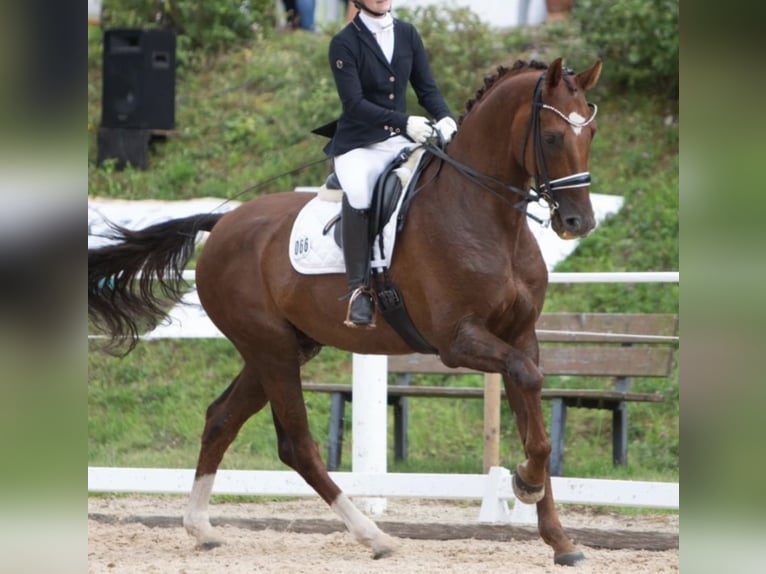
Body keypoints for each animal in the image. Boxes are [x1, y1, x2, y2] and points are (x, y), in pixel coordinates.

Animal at [88, 56, 608, 568]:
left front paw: (558, 536)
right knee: (297, 445)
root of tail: (222, 223)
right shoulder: (458, 341)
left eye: (591, 134)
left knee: (221, 419)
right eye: (552, 136)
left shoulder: (520, 337)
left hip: (283, 349)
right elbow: (527, 388)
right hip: (271, 349)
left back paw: (201, 528)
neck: (488, 218)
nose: (578, 222)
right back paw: (375, 536)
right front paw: (526, 482)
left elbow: (532, 417)